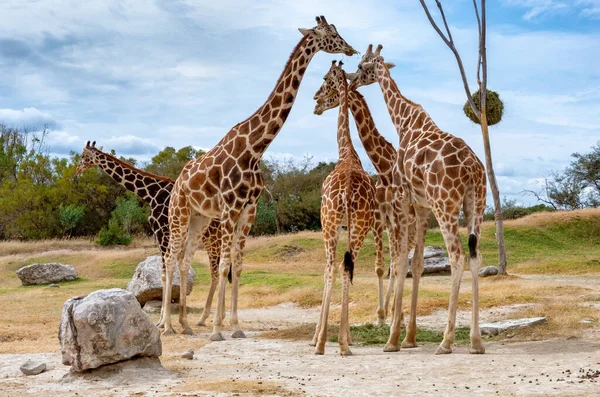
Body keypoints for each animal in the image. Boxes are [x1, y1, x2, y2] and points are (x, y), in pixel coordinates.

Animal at [75, 141, 223, 326]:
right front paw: (163, 321)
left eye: (83, 156)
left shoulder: (162, 232)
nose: (77, 169)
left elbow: (165, 273)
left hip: (213, 239)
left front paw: (165, 322)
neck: (150, 194)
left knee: (217, 273)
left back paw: (206, 318)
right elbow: (167, 272)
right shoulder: (163, 235)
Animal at [159, 16, 356, 338]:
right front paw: (217, 330)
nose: (350, 48)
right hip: (179, 212)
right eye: (331, 33)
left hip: (200, 219)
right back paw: (165, 325)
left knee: (184, 258)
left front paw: (236, 326)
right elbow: (224, 264)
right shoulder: (229, 209)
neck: (255, 148)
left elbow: (237, 266)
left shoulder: (248, 210)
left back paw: (185, 325)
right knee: (169, 257)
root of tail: (178, 182)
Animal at [310, 63, 418, 326]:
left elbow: (390, 264)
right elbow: (380, 266)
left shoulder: (389, 219)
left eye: (326, 83)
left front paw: (387, 315)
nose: (316, 101)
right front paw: (381, 315)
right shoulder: (379, 219)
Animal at [352, 44, 488, 354]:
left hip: (445, 205)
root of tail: (472, 169)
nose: (352, 80)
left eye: (362, 65)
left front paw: (392, 339)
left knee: (457, 256)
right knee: (475, 256)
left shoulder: (402, 200)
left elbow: (401, 263)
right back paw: (475, 341)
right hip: (476, 205)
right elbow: (416, 264)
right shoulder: (422, 206)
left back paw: (446, 341)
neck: (403, 121)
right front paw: (406, 336)